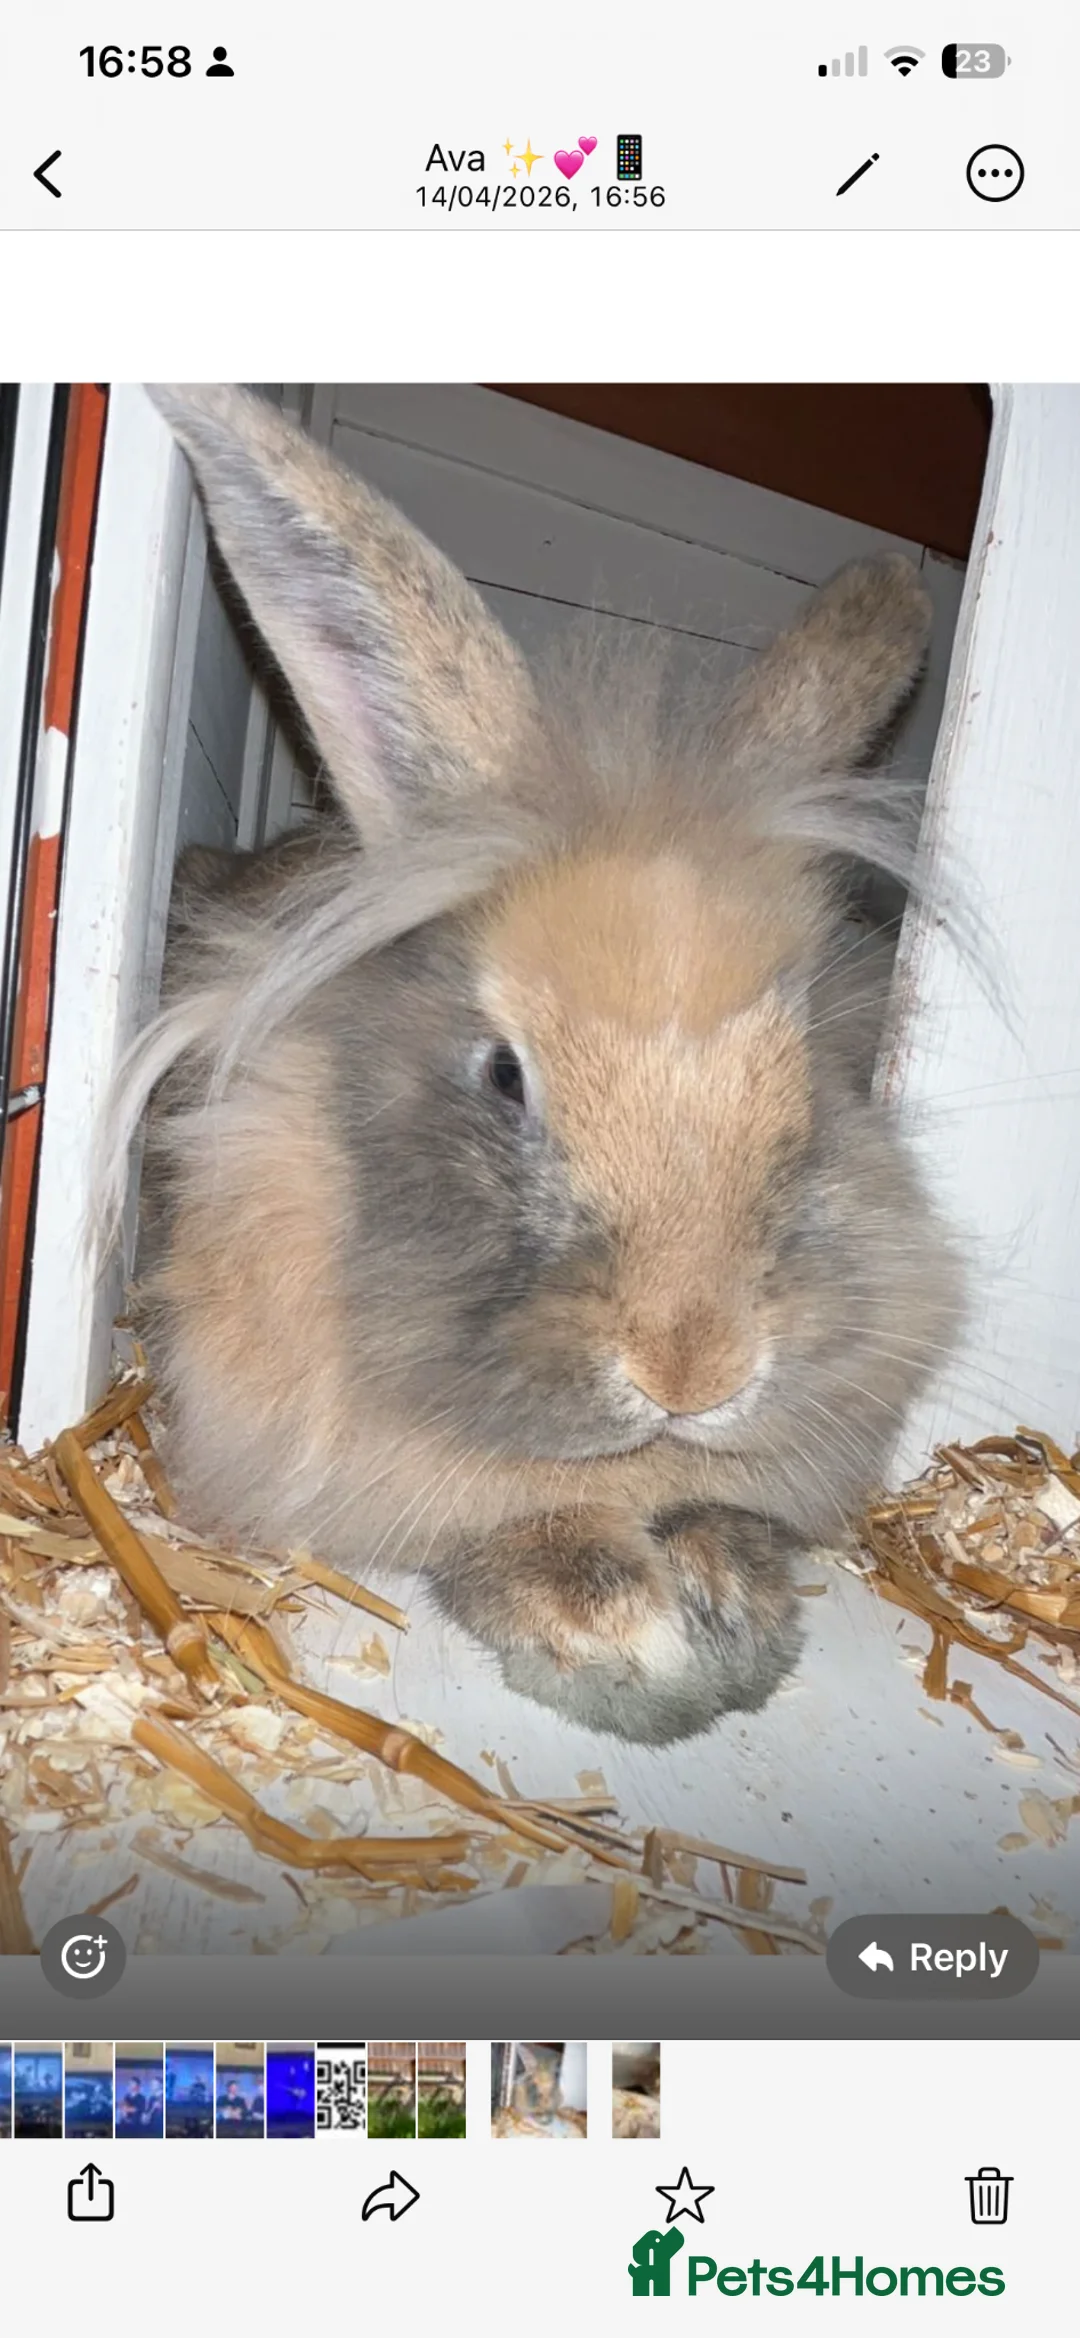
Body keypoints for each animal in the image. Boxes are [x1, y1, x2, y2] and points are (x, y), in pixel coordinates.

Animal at [104, 384, 966, 1748]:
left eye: (809, 1080)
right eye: (506, 1076)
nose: (694, 1366)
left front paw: (733, 1596)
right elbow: (512, 1528)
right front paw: (625, 1636)